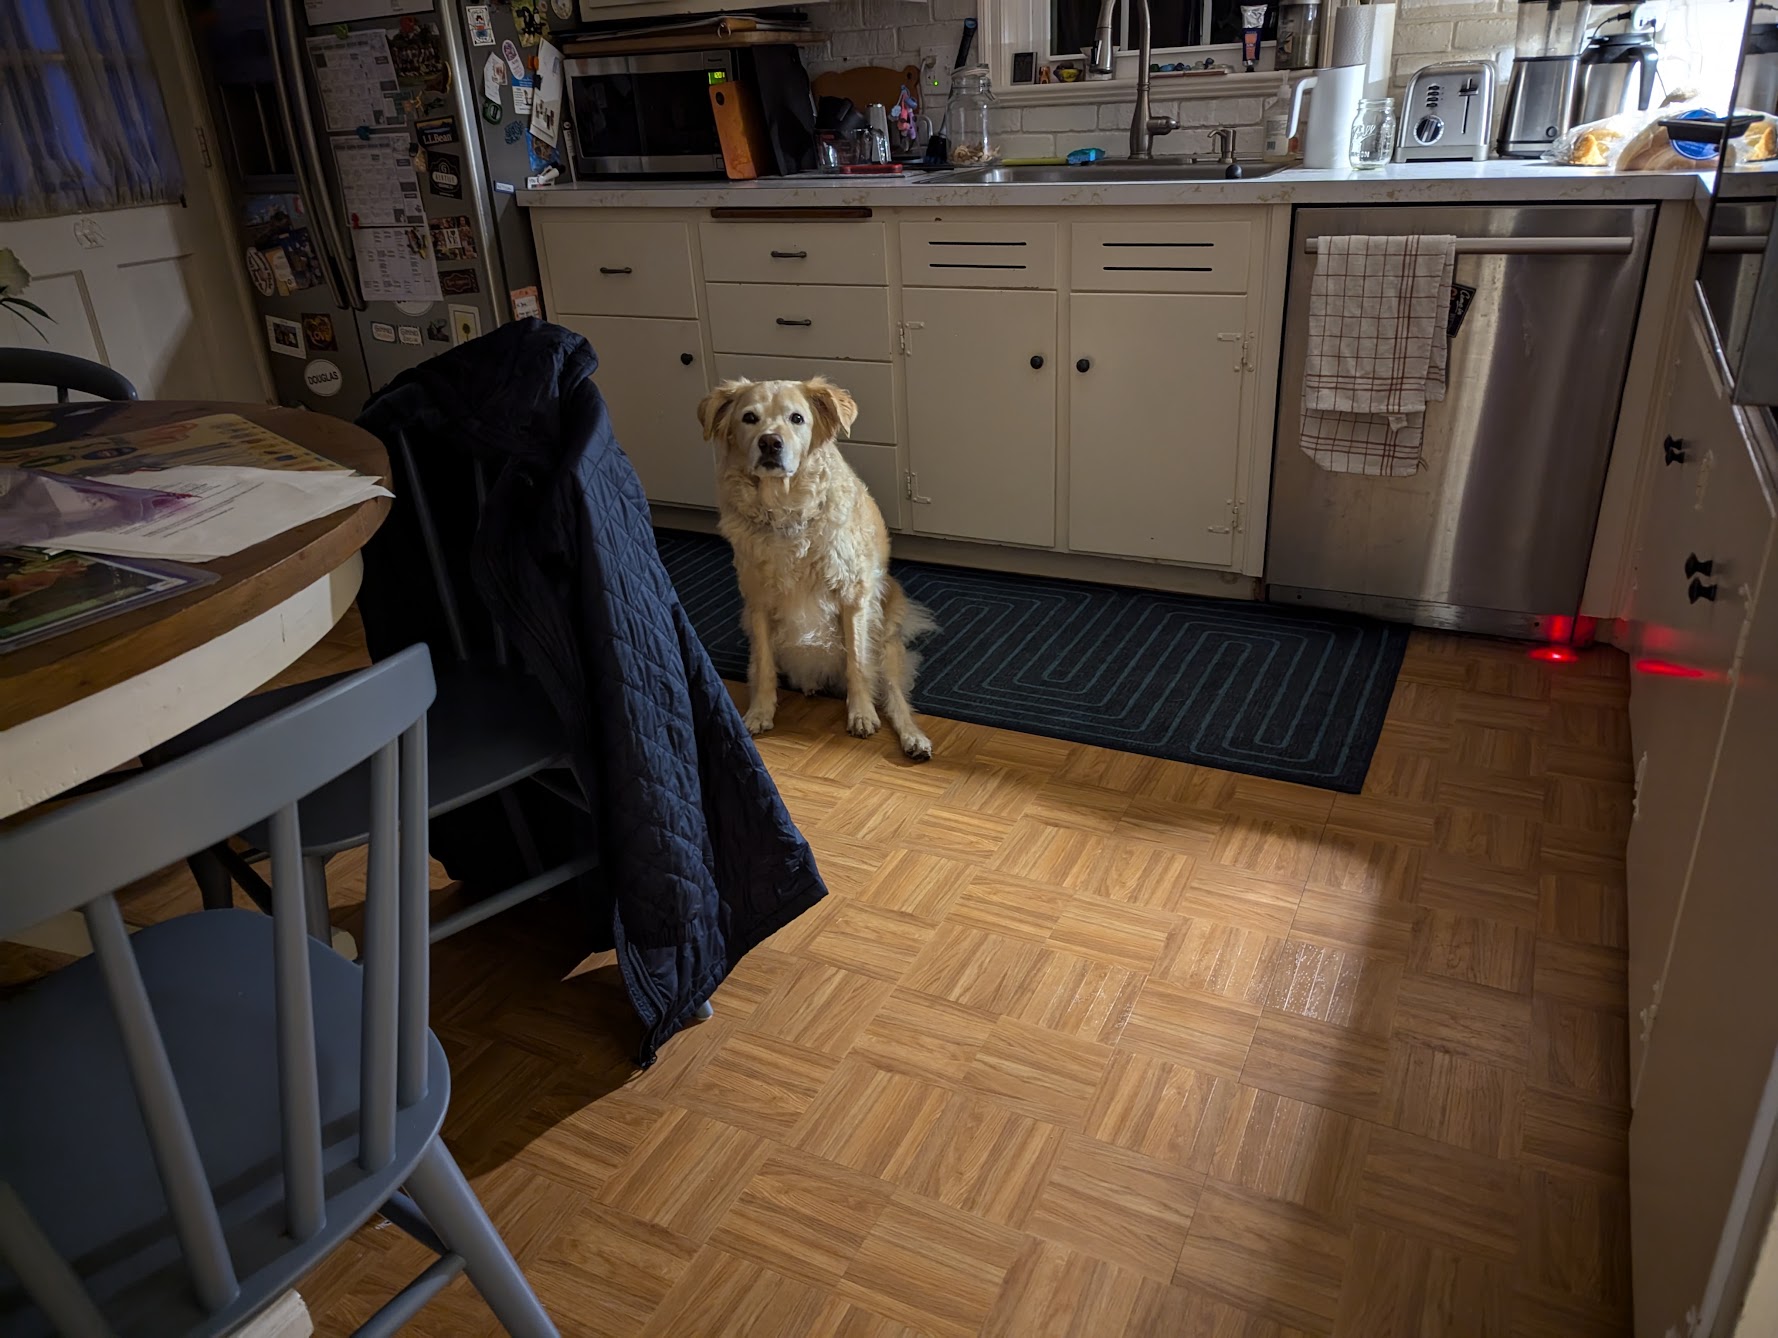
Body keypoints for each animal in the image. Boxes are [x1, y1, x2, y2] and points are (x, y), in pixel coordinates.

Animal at [696, 373, 938, 760]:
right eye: (749, 418)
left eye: (797, 418)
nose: (770, 443)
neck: (786, 513)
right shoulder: (757, 604)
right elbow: (763, 667)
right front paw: (760, 712)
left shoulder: (853, 598)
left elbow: (857, 663)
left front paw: (861, 714)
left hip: (886, 644)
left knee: (895, 697)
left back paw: (914, 740)